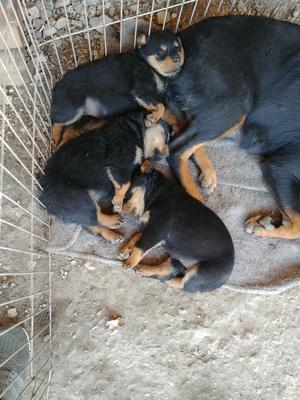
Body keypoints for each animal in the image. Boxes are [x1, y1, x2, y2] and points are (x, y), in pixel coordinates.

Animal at [39, 113, 170, 244]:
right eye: (166, 136)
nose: (168, 154)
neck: (135, 130)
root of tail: (45, 202)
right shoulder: (121, 158)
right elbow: (125, 183)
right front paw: (118, 202)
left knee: (90, 223)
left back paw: (112, 234)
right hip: (75, 196)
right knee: (94, 216)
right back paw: (113, 220)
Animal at [50, 28, 184, 147]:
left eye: (179, 48)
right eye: (162, 53)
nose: (178, 58)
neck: (149, 66)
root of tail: (55, 87)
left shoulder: (151, 98)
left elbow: (165, 110)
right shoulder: (141, 92)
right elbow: (161, 107)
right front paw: (152, 119)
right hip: (73, 110)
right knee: (56, 121)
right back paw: (54, 138)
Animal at [119, 161, 234, 292]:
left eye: (126, 196)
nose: (121, 212)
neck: (156, 192)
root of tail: (227, 276)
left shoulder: (157, 229)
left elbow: (140, 245)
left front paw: (129, 262)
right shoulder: (153, 231)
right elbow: (137, 236)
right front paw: (126, 248)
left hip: (202, 272)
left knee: (181, 283)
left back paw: (163, 279)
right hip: (177, 258)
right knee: (167, 270)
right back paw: (144, 270)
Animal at [148, 16, 300, 241]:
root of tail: (181, 40)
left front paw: (269, 222)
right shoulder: (281, 165)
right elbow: (298, 225)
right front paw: (268, 224)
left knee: (184, 131)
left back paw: (206, 170)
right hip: (235, 103)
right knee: (176, 150)